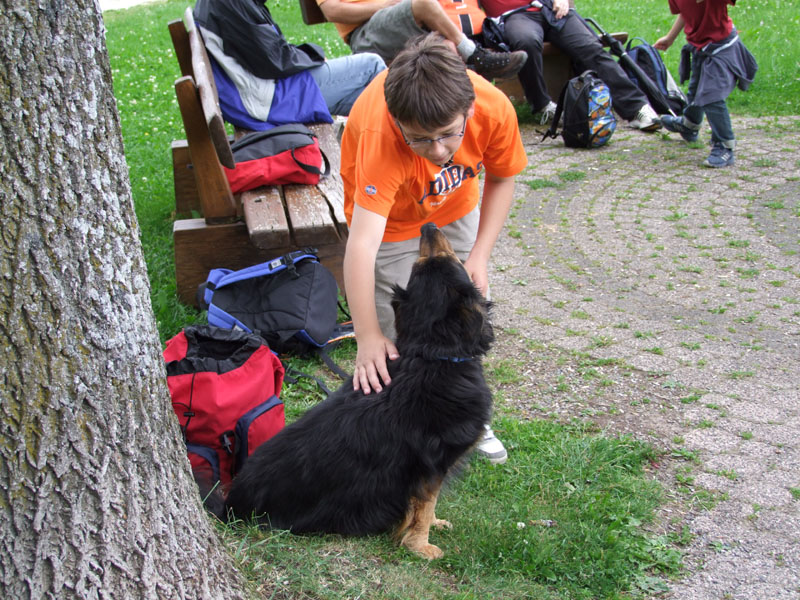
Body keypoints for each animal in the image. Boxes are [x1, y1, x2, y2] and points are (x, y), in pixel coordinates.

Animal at [222, 224, 490, 556]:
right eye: (444, 261)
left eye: (423, 265)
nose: (427, 227)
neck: (432, 353)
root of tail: (230, 504)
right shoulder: (432, 466)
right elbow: (425, 506)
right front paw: (422, 547)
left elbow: (426, 508)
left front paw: (434, 527)